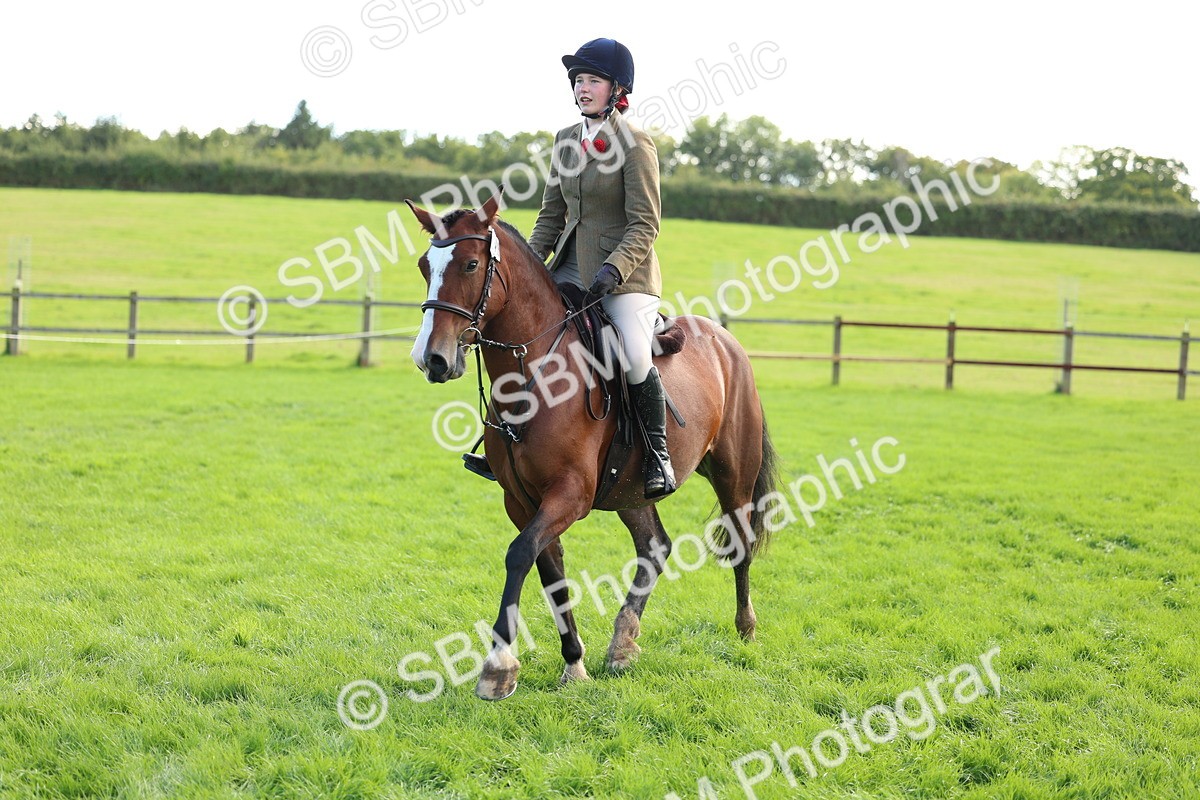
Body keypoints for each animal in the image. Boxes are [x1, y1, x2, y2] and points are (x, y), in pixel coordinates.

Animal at [406, 190, 779, 700]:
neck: (535, 376)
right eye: (425, 265)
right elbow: (549, 570)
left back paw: (745, 628)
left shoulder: (571, 494)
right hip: (632, 490)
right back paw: (622, 644)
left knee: (740, 539)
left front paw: (498, 668)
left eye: (470, 264)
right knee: (654, 547)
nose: (432, 358)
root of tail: (725, 339)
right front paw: (574, 663)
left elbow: (519, 554)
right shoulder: (521, 500)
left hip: (732, 472)